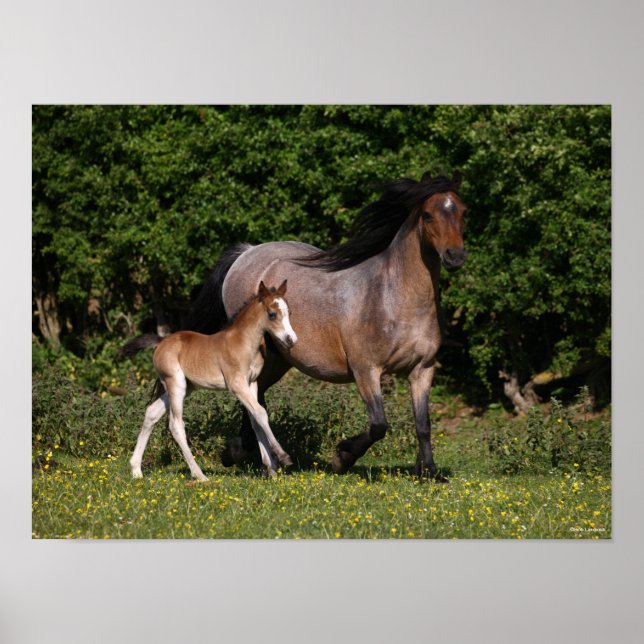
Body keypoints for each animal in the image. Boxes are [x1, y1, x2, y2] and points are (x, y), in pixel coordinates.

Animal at [120, 280, 297, 480]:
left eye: (289, 312)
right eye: (272, 314)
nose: (291, 340)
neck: (243, 343)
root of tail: (161, 342)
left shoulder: (252, 384)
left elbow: (256, 420)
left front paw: (271, 469)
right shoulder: (237, 385)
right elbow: (261, 413)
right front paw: (283, 457)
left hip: (184, 387)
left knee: (151, 413)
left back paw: (136, 470)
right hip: (176, 384)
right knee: (176, 425)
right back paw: (199, 475)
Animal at [185, 171, 467, 480]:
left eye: (463, 211)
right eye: (427, 215)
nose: (455, 256)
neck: (394, 297)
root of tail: (246, 253)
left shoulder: (422, 369)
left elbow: (423, 424)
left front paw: (429, 472)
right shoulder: (366, 370)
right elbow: (379, 425)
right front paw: (342, 457)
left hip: (278, 359)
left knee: (256, 397)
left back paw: (241, 453)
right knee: (251, 399)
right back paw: (245, 455)